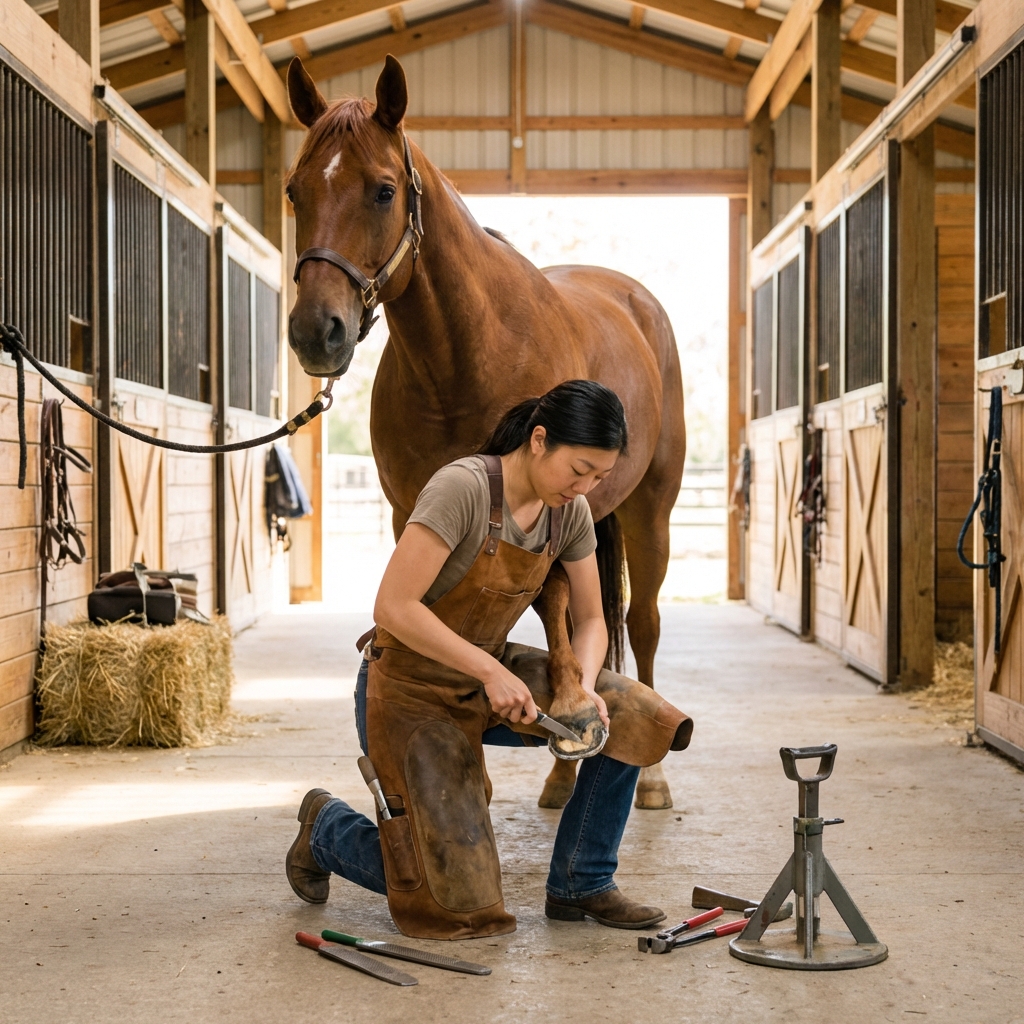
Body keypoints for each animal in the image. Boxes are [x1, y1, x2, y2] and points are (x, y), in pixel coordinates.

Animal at [285, 55, 686, 810]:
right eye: (295, 192)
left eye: (384, 191)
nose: (315, 333)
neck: (462, 361)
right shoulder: (409, 510)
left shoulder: (556, 503)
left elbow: (557, 604)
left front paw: (570, 709)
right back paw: (560, 780)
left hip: (651, 508)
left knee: (640, 624)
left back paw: (649, 780)